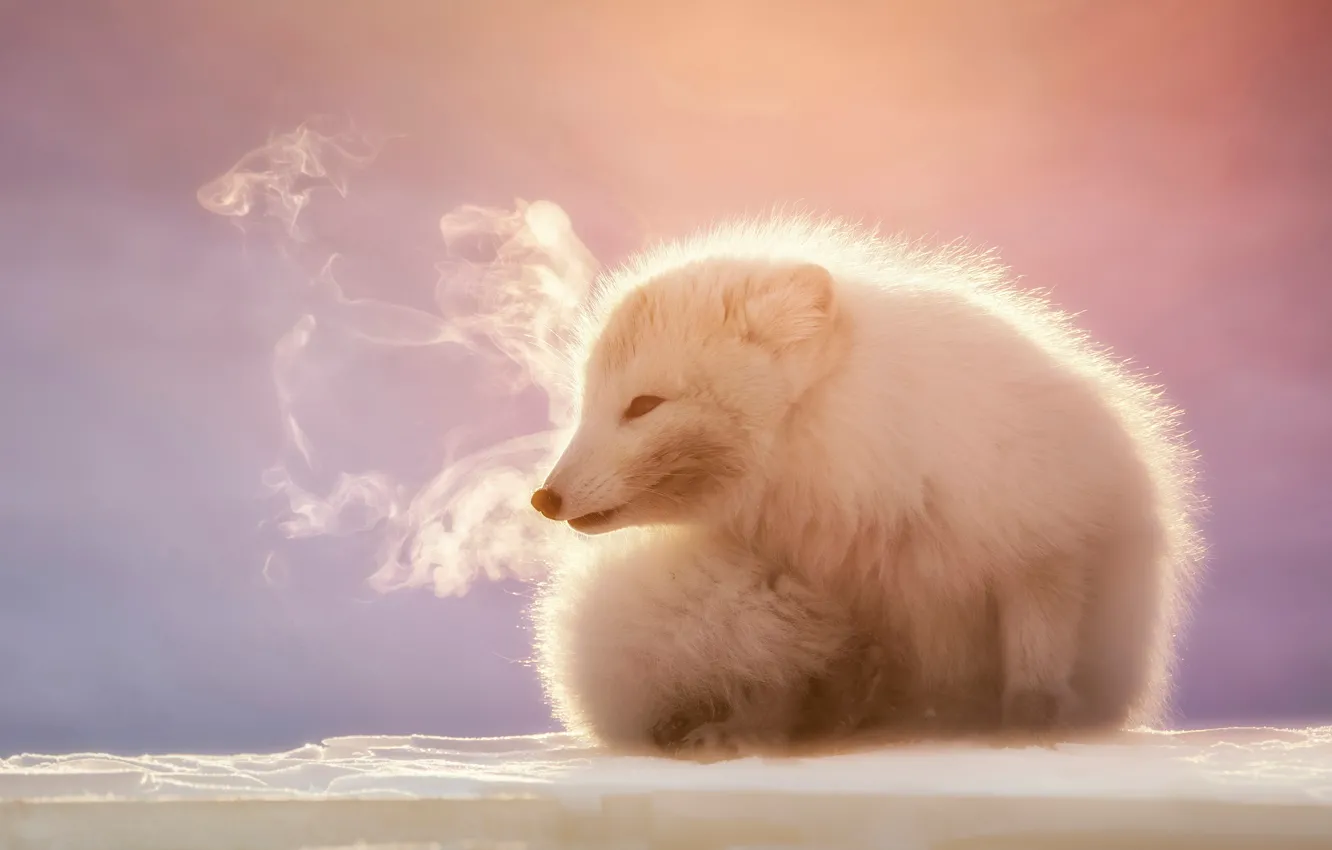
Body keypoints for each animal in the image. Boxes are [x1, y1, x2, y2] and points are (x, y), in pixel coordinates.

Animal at [528, 214, 1204, 754]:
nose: (543, 497)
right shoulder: (815, 591)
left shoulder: (1045, 544)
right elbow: (783, 684)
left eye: (643, 405)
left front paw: (1028, 725)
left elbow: (1037, 652)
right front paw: (752, 731)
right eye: (586, 401)